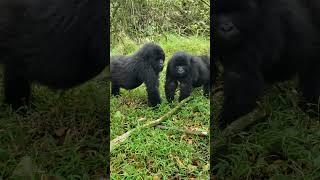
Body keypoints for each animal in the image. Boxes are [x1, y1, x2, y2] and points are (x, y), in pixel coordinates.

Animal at [212, 0, 320, 129]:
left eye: (236, 11)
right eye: (216, 13)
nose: (226, 28)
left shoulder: (264, 24)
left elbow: (241, 77)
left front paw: (228, 122)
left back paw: (310, 108)